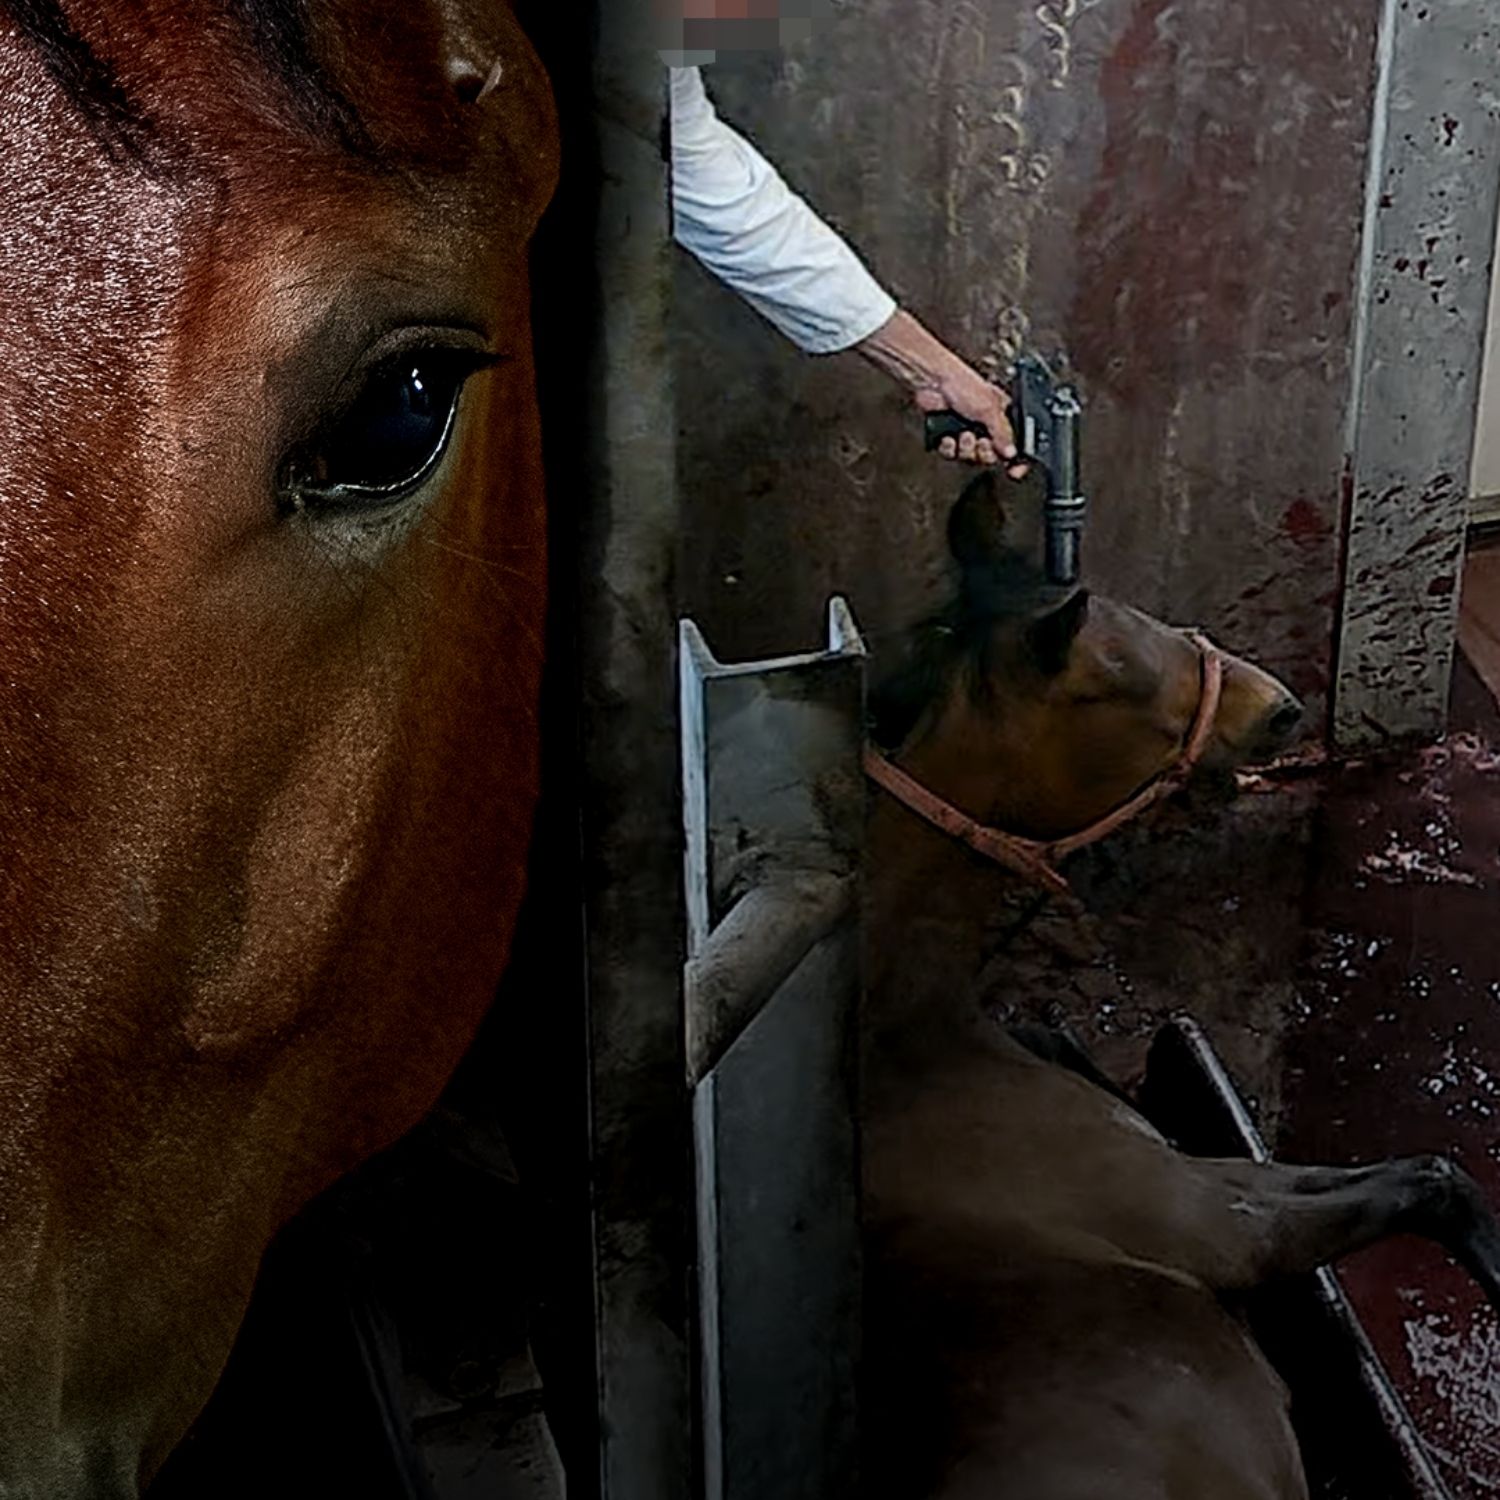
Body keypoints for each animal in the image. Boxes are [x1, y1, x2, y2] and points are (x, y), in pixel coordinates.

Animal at [859, 472, 1500, 1499]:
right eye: (1116, 672)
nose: (1279, 708)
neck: (907, 1037)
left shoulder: (1203, 1169)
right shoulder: (1208, 1217)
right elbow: (1431, 1181)